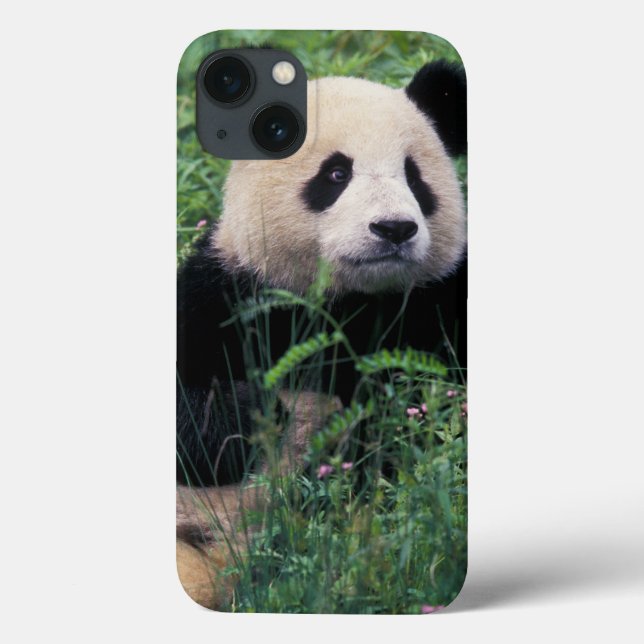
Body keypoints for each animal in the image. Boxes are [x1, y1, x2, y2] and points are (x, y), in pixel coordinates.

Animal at [177, 61, 467, 489]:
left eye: (414, 178)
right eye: (336, 174)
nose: (394, 228)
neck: (350, 300)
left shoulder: (440, 297)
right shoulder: (227, 295)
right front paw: (252, 414)